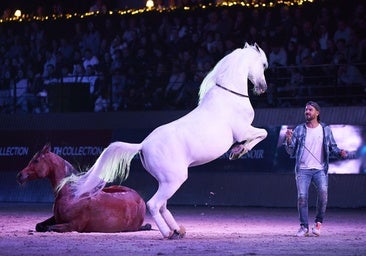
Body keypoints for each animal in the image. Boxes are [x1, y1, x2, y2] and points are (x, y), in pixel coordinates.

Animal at [16, 145, 151, 233]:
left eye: (36, 160)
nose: (19, 176)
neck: (72, 194)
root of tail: (140, 199)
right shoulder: (56, 218)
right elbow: (39, 226)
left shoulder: (73, 225)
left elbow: (46, 228)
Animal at [58, 42, 268, 240]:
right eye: (264, 64)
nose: (263, 88)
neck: (228, 96)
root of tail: (142, 145)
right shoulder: (243, 131)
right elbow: (262, 133)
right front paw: (238, 151)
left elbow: (262, 134)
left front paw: (237, 151)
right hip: (174, 180)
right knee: (154, 204)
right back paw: (168, 233)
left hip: (166, 181)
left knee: (162, 205)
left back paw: (177, 230)